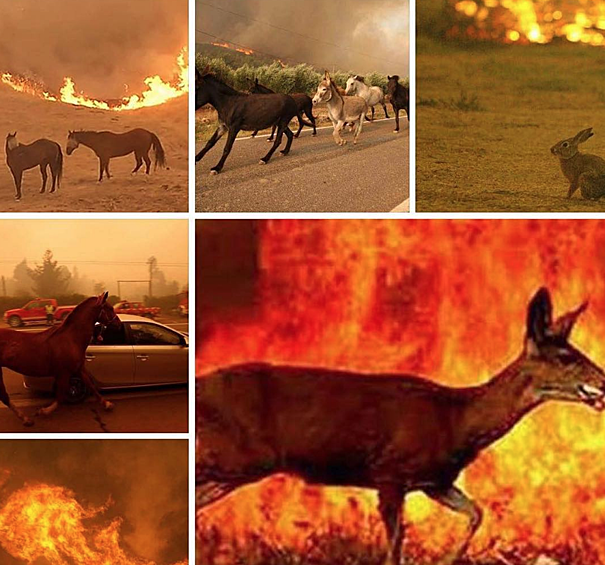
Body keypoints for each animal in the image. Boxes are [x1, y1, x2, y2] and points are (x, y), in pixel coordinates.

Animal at [0, 294, 121, 426]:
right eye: (110, 308)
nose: (119, 323)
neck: (71, 338)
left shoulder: (78, 368)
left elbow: (90, 386)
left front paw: (107, 404)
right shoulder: (64, 373)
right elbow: (61, 395)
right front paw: (44, 411)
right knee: (4, 396)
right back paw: (26, 419)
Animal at [197, 288, 604, 564]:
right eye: (566, 357)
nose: (602, 380)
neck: (457, 420)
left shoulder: (434, 481)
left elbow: (476, 512)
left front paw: (448, 560)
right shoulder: (390, 472)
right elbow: (395, 548)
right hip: (241, 455)